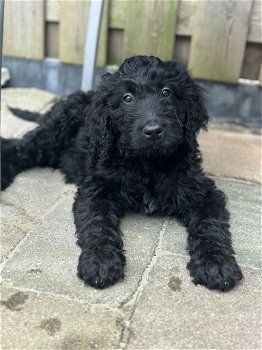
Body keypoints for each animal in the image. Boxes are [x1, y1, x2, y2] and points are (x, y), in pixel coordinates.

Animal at [1, 55, 243, 290]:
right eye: (127, 98)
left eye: (166, 92)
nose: (153, 131)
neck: (147, 163)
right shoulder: (96, 188)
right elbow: (98, 223)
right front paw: (100, 260)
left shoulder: (202, 192)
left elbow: (209, 225)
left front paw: (216, 263)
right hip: (55, 131)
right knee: (22, 147)